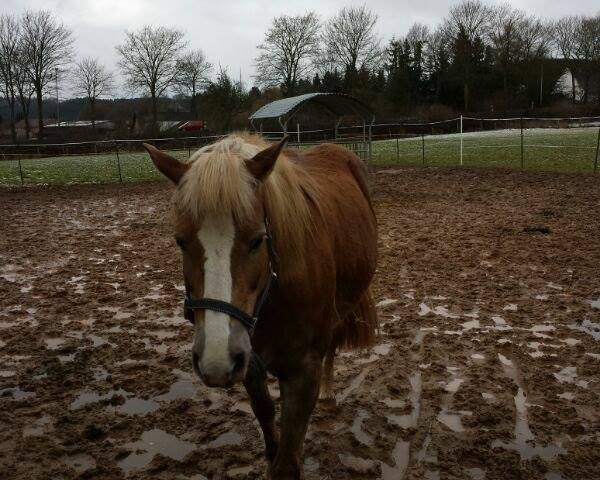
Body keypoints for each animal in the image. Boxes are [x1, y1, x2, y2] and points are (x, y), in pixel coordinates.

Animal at [144, 132, 378, 480]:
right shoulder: (250, 363)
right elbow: (268, 424)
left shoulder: (303, 373)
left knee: (333, 347)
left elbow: (288, 460)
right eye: (180, 241)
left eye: (257, 240)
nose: (215, 360)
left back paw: (329, 389)